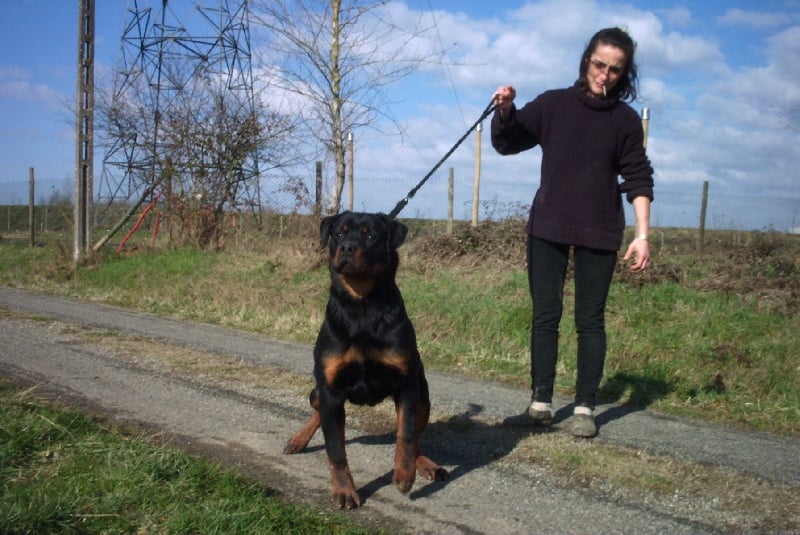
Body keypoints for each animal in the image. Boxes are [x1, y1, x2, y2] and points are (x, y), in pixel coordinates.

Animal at [283, 211, 447, 509]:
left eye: (371, 235)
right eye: (338, 233)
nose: (347, 247)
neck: (362, 305)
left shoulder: (407, 384)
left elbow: (406, 434)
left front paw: (404, 473)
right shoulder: (331, 388)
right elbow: (335, 449)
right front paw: (344, 490)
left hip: (423, 395)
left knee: (416, 434)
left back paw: (424, 464)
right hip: (318, 392)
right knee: (319, 413)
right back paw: (299, 439)